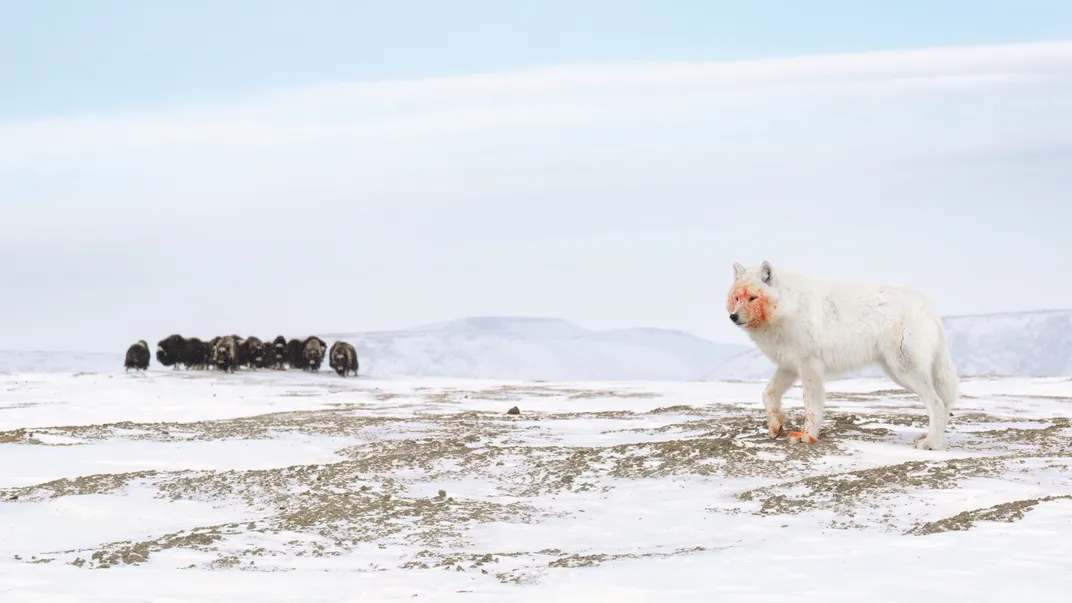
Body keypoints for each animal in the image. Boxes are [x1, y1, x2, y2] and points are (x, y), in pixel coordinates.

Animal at [726, 261, 958, 450]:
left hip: (905, 370)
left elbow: (811, 406)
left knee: (937, 404)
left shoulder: (809, 367)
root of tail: (929, 308)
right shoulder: (788, 366)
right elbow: (768, 394)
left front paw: (806, 436)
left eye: (752, 297)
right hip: (897, 372)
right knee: (944, 404)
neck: (788, 308)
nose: (733, 317)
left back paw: (931, 444)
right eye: (737, 298)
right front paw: (775, 426)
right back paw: (931, 439)